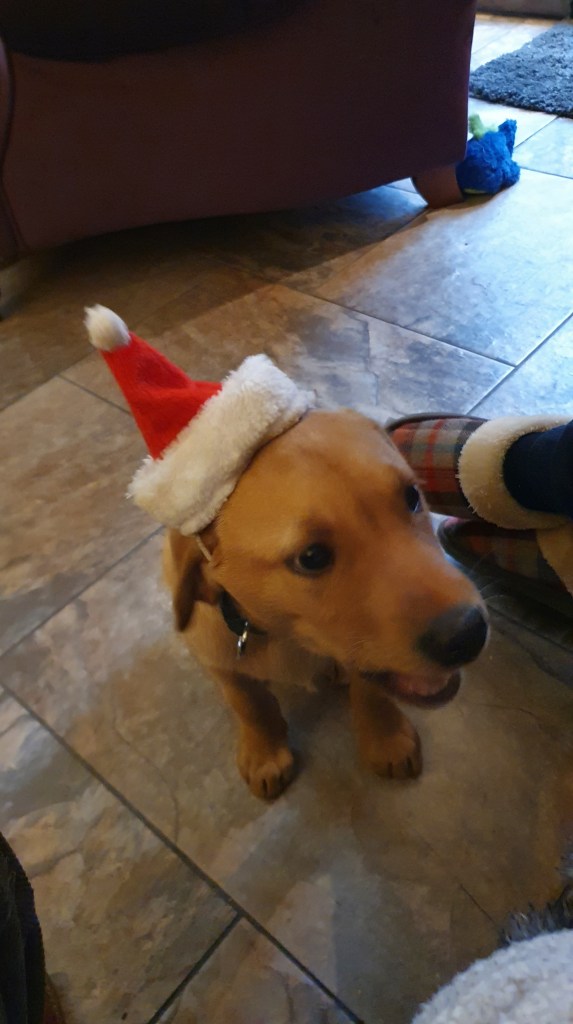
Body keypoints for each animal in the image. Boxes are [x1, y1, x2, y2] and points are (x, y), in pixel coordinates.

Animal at [163, 407, 488, 799]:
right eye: (312, 557)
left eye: (412, 495)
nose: (468, 633)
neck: (286, 642)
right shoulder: (221, 661)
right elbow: (250, 704)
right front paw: (265, 753)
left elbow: (371, 693)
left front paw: (386, 738)